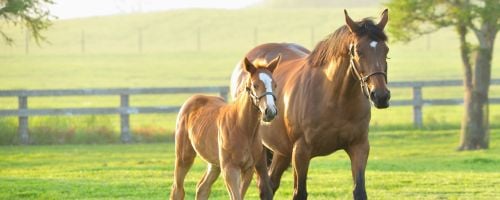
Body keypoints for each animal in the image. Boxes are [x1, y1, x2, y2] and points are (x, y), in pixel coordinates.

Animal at [171, 55, 282, 200]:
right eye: (255, 85)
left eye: (274, 84)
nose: (270, 111)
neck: (243, 128)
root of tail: (192, 99)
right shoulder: (230, 169)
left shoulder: (248, 169)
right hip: (184, 156)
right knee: (178, 189)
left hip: (215, 163)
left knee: (202, 188)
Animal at [230, 9, 390, 198]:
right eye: (358, 50)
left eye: (386, 50)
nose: (380, 96)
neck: (334, 99)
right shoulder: (301, 152)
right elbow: (299, 193)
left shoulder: (359, 147)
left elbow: (359, 191)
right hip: (261, 149)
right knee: (264, 187)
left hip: (282, 151)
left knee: (271, 183)